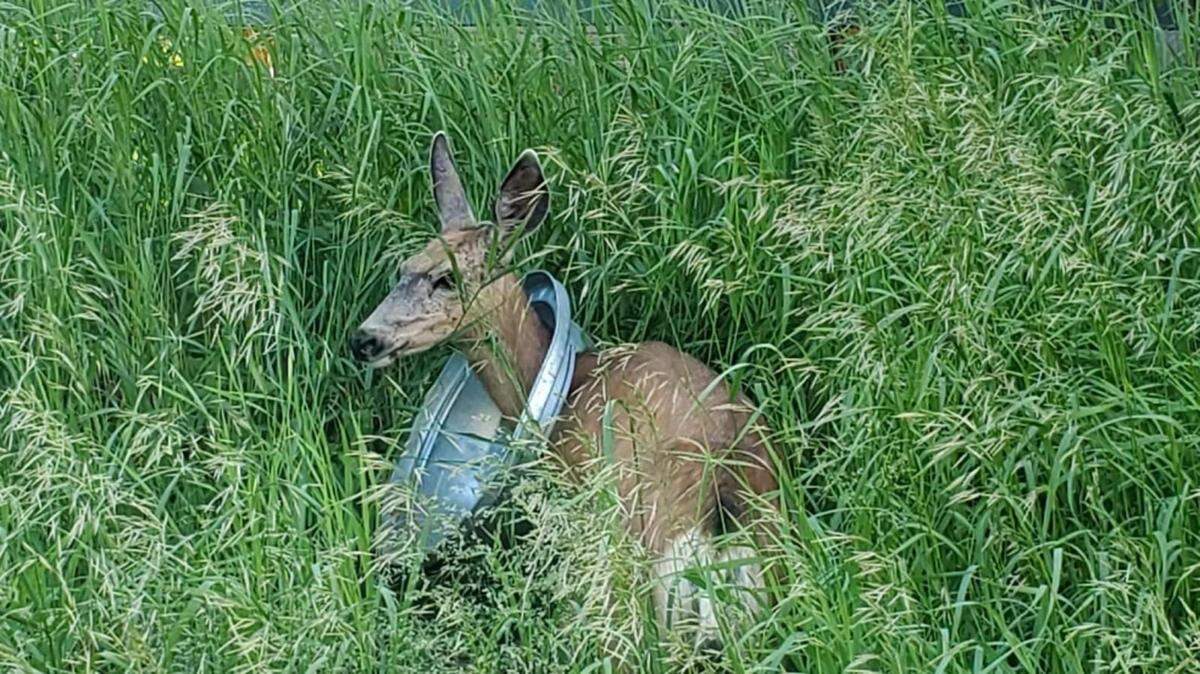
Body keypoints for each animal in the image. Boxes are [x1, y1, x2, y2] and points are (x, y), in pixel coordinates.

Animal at [350, 132, 779, 648]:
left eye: (446, 278)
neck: (565, 384)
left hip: (630, 544)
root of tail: (722, 485)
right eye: (404, 267)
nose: (364, 339)